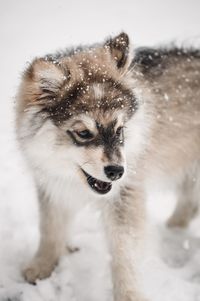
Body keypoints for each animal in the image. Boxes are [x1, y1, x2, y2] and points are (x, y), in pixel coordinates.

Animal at [15, 32, 200, 300]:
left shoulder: (125, 196)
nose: (117, 172)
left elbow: (124, 250)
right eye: (83, 133)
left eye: (120, 129)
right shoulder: (52, 186)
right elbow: (50, 228)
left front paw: (128, 294)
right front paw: (42, 265)